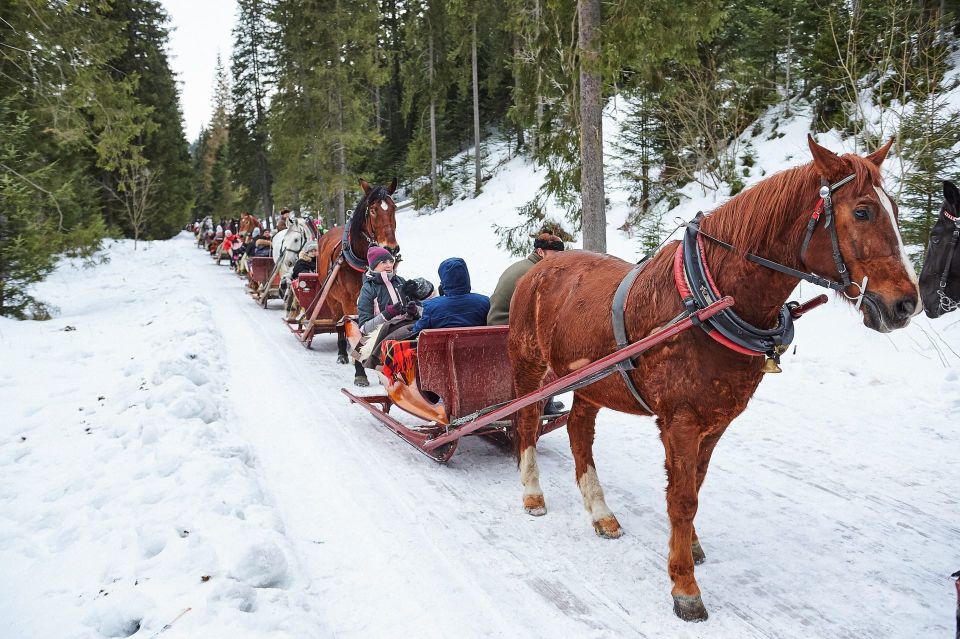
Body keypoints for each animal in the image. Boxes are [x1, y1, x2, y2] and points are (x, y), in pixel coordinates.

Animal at [316, 178, 400, 384]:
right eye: (373, 210)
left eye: (393, 208)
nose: (391, 249)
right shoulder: (349, 301)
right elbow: (356, 330)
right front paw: (360, 372)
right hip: (332, 299)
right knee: (339, 323)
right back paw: (341, 354)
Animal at [510, 138, 924, 624]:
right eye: (862, 211)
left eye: (894, 208)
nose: (907, 304)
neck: (708, 301)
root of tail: (542, 267)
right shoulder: (682, 421)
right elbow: (682, 498)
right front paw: (685, 586)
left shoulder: (716, 421)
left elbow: (695, 487)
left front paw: (689, 546)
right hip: (530, 366)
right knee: (526, 422)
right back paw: (532, 493)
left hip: (595, 380)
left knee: (579, 431)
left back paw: (600, 512)